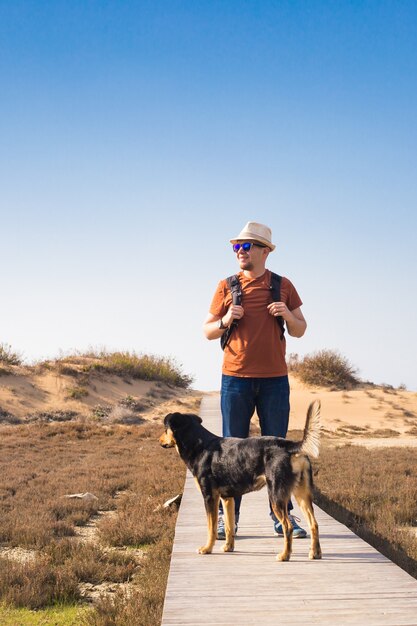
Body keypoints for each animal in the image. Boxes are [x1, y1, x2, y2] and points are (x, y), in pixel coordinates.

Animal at [159, 400, 322, 560]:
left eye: (165, 428)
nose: (159, 440)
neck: (199, 445)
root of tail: (290, 446)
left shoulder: (210, 497)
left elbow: (211, 527)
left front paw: (207, 548)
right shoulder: (227, 499)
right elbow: (229, 526)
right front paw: (228, 547)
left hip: (276, 496)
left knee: (288, 527)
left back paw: (284, 555)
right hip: (302, 495)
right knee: (314, 524)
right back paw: (315, 553)